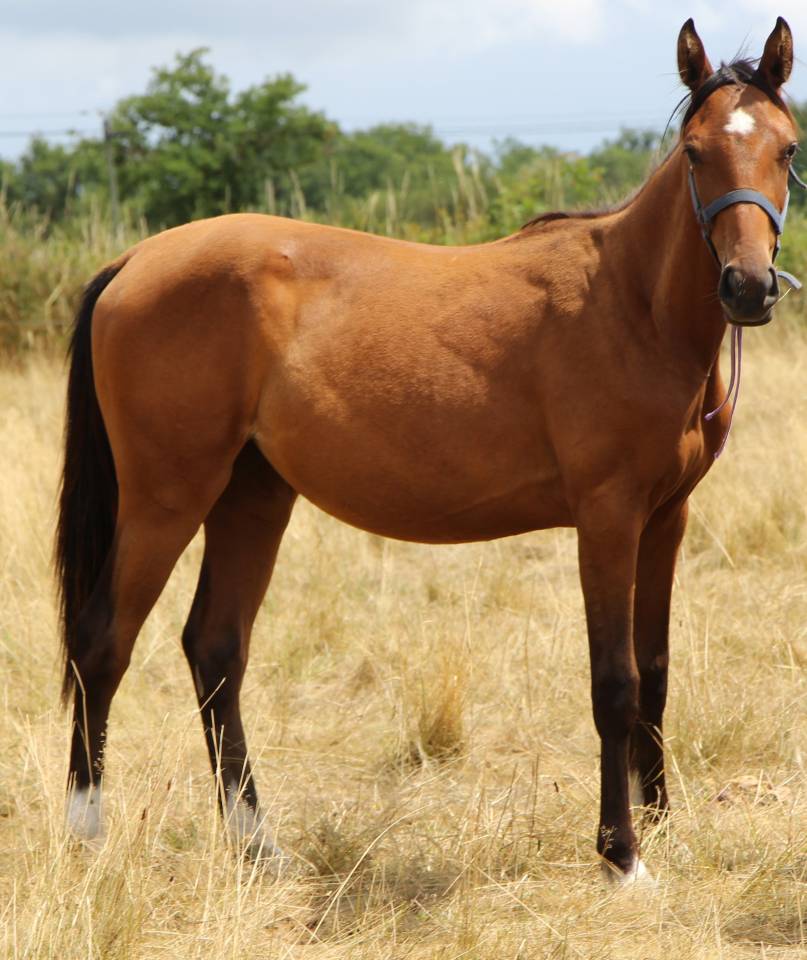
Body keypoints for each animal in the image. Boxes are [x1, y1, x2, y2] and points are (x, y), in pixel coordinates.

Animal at [57, 18, 802, 882]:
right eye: (693, 152)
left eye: (785, 147)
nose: (747, 288)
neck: (630, 305)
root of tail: (134, 262)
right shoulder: (608, 518)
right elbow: (613, 683)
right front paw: (622, 855)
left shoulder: (665, 518)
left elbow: (653, 673)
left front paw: (660, 825)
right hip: (166, 498)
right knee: (102, 643)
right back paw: (87, 834)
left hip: (251, 496)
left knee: (214, 650)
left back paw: (259, 844)